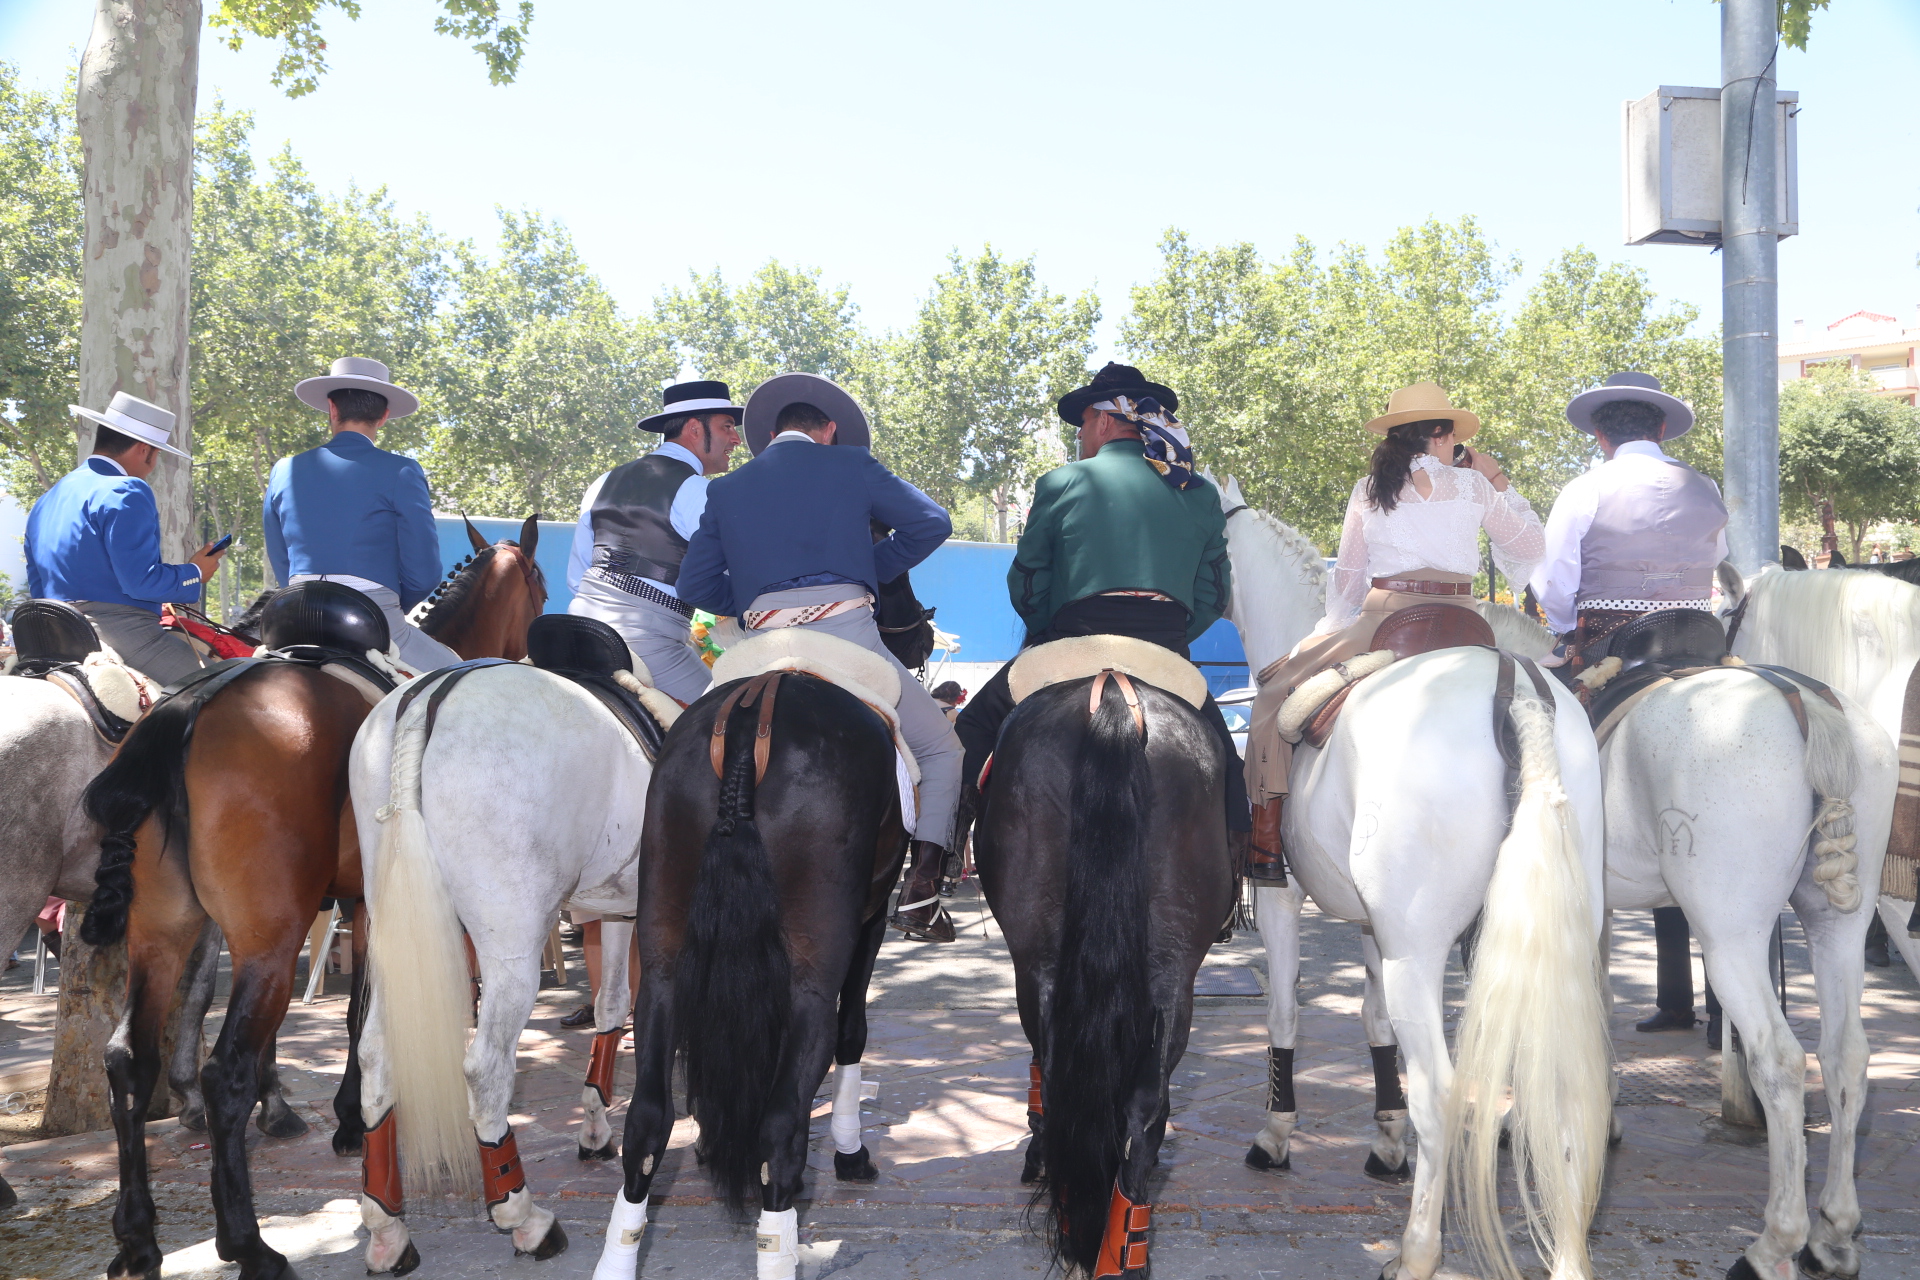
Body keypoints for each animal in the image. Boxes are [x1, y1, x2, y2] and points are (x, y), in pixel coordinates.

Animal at [78, 514, 545, 1280]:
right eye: (538, 589)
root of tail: (186, 710)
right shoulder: (370, 907)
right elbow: (359, 1014)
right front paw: (354, 1119)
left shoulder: (355, 902)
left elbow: (360, 1013)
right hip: (267, 937)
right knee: (226, 1071)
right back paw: (248, 1242)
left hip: (162, 931)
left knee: (129, 1060)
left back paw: (138, 1237)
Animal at [347, 660, 668, 1274]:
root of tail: (431, 699)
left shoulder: (618, 911)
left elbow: (612, 1006)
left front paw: (595, 1127)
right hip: (512, 947)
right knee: (486, 1070)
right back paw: (524, 1218)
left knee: (376, 1056)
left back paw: (386, 1228)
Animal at [595, 671, 902, 1280]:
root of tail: (758, 700)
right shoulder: (871, 920)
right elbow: (852, 1032)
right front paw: (850, 1153)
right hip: (814, 974)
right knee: (780, 1129)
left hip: (662, 960)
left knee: (646, 1122)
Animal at [975, 675, 1228, 1274]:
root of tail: (1111, 690)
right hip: (1172, 973)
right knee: (1144, 1102)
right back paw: (1124, 1244)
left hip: (1040, 965)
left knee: (1059, 1077)